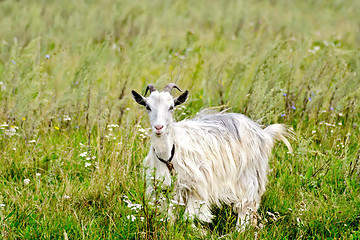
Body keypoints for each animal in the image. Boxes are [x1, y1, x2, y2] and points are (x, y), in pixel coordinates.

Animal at [132, 83, 292, 230]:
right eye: (148, 107)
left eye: (171, 107)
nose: (159, 128)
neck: (169, 156)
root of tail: (262, 132)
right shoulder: (162, 189)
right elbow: (168, 218)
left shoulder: (196, 186)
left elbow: (188, 218)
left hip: (249, 175)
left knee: (246, 205)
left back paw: (239, 231)